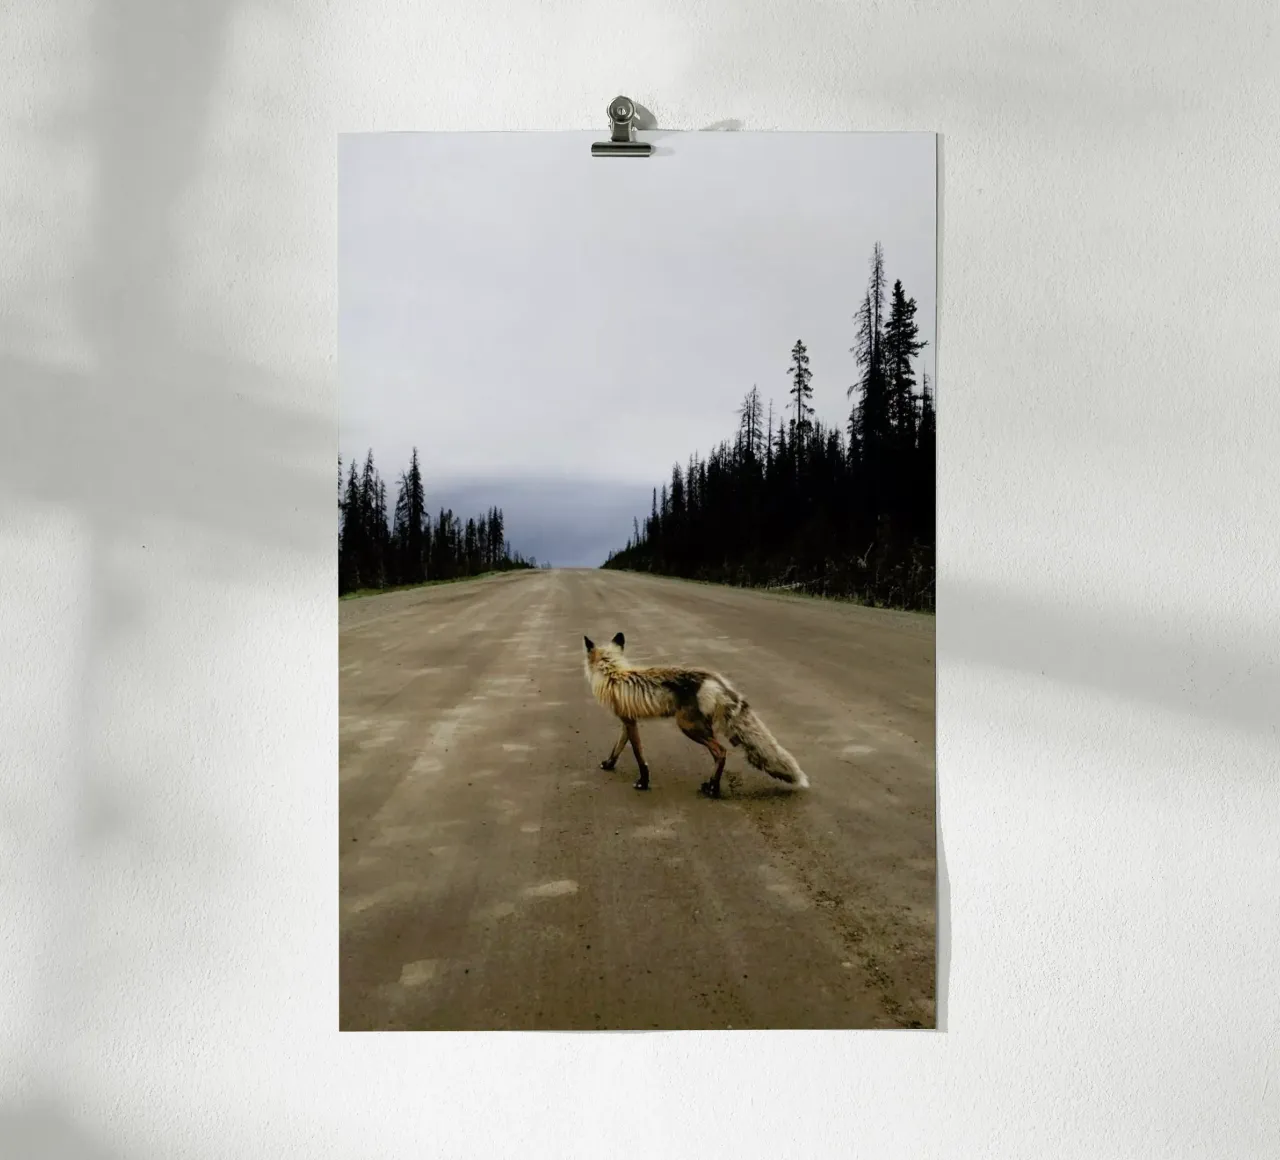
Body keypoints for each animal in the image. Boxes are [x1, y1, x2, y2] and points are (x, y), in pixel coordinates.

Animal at [582, 632, 809, 798]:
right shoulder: (627, 721)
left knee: (721, 752)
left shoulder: (630, 722)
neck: (613, 673)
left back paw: (714, 790)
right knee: (718, 754)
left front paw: (643, 782)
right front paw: (609, 764)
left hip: (688, 727)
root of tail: (715, 679)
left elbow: (639, 756)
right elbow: (618, 747)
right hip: (701, 728)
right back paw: (710, 784)